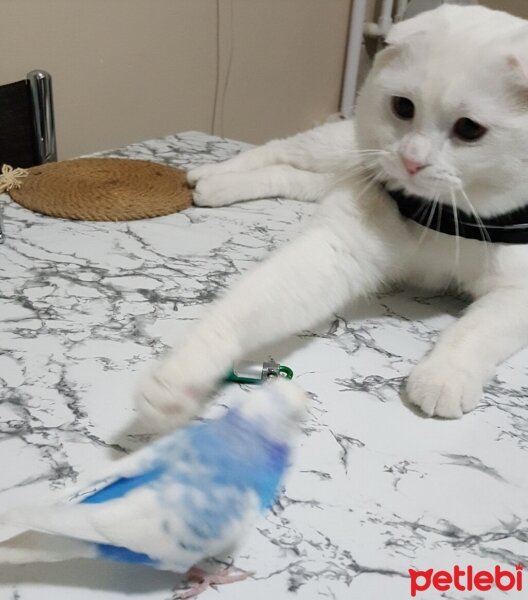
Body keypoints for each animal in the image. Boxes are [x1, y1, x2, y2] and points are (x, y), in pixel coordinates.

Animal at [138, 3, 528, 426]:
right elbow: (244, 306)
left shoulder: (518, 291)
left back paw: (216, 186)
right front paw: (182, 374)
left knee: (289, 175)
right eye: (403, 107)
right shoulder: (338, 248)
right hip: (334, 149)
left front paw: (443, 376)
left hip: (333, 175)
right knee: (276, 150)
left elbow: (477, 328)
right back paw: (208, 174)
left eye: (469, 129)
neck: (440, 218)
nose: (411, 161)